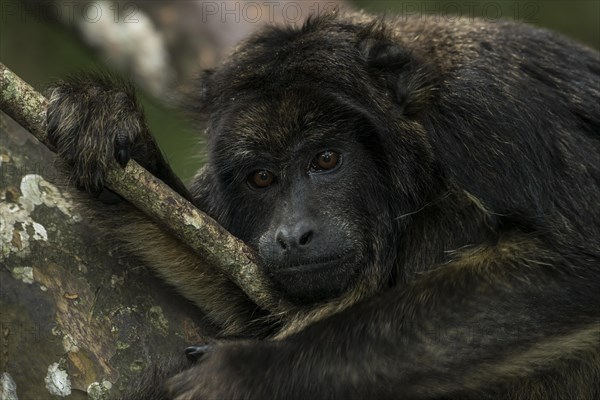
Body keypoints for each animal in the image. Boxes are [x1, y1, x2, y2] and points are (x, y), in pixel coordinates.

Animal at [47, 9, 600, 400]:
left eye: (327, 159)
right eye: (262, 177)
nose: (293, 235)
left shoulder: (488, 110)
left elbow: (577, 265)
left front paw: (250, 374)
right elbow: (246, 298)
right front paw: (108, 120)